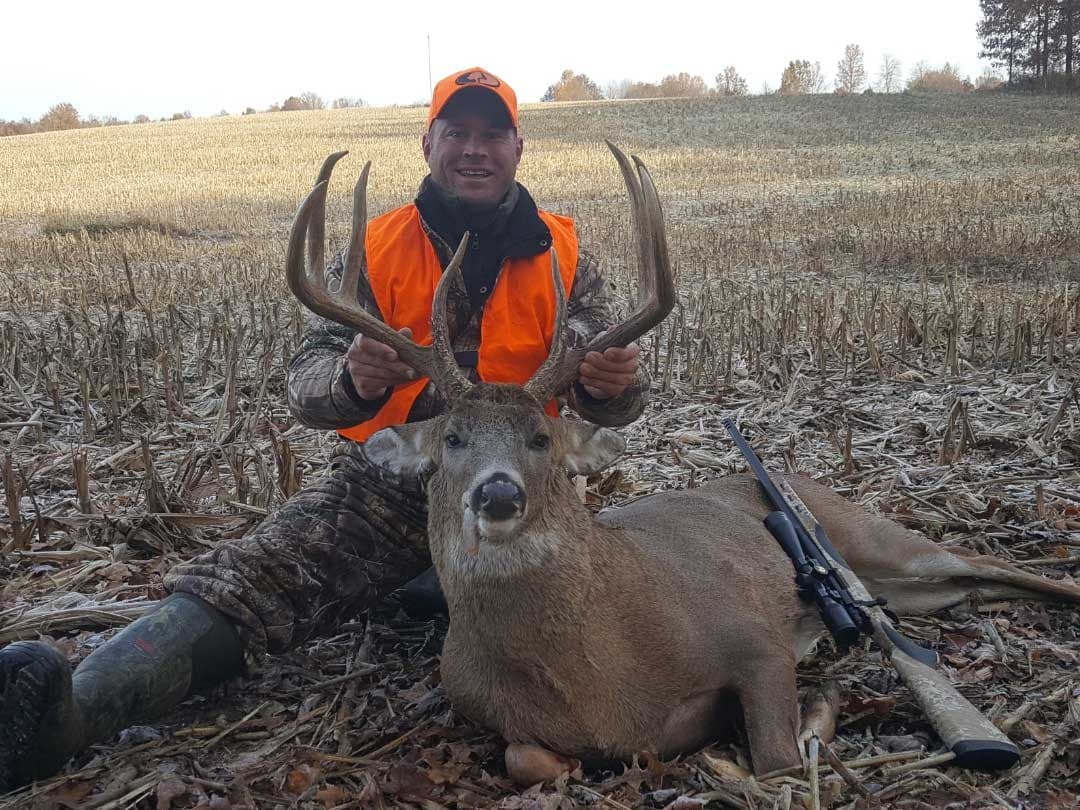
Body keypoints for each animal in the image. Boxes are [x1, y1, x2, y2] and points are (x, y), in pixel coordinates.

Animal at [286, 144, 1080, 785]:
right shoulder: (505, 720)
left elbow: (778, 763)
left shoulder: (753, 639)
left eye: (542, 439)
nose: (499, 494)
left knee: (989, 561)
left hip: (872, 534)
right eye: (451, 438)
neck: (596, 678)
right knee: (969, 588)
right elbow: (529, 761)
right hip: (911, 588)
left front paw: (818, 710)